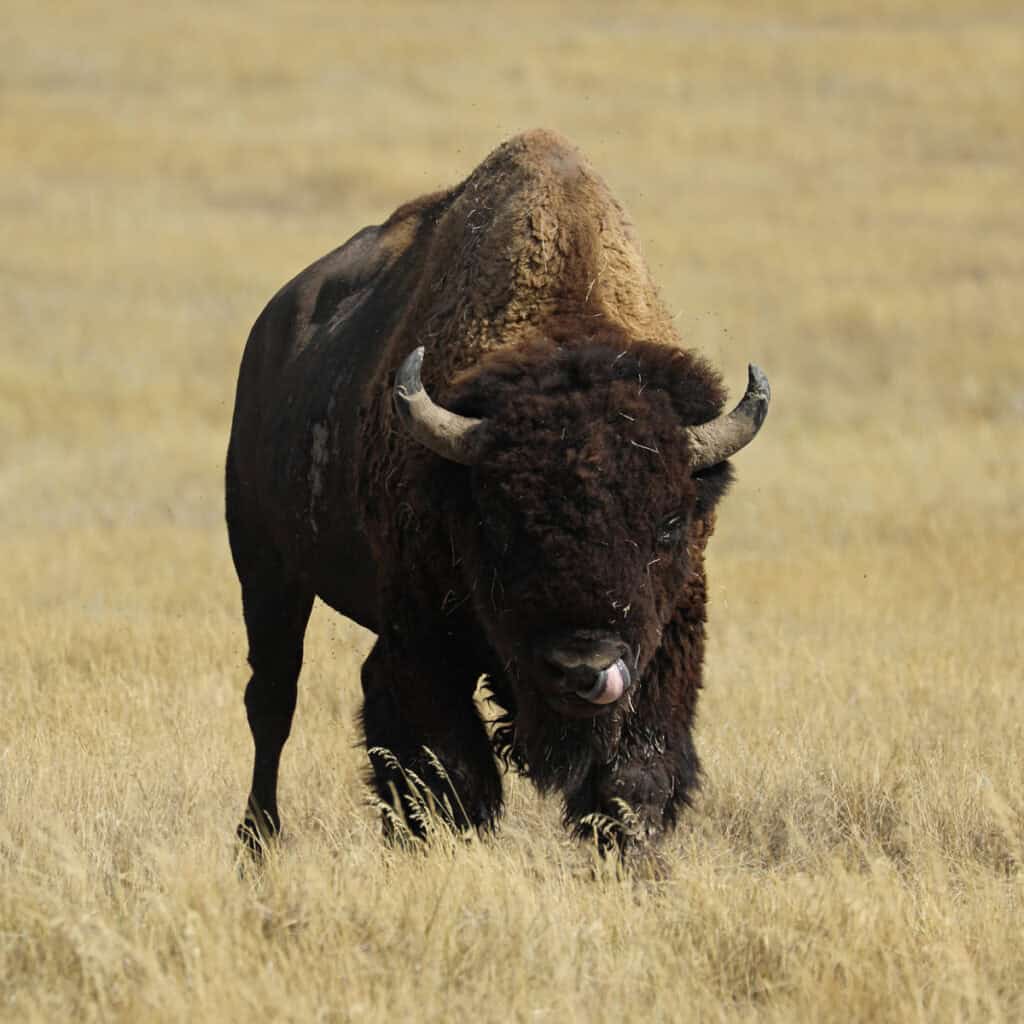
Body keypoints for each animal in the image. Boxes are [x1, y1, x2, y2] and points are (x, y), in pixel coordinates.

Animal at [226, 129, 769, 855]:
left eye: (670, 523)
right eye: (499, 523)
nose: (584, 666)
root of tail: (268, 333)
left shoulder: (671, 629)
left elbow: (637, 772)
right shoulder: (423, 631)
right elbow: (451, 768)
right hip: (266, 565)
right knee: (273, 700)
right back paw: (255, 840)